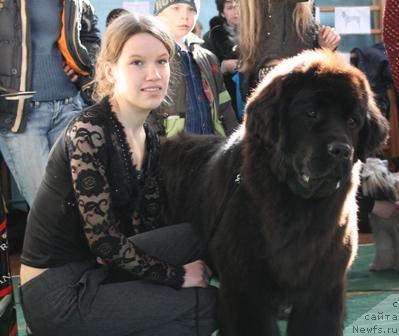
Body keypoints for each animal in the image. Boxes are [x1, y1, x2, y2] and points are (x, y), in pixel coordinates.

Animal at [160, 50, 390, 336]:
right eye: (311, 113)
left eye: (353, 121)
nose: (342, 151)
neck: (297, 208)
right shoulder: (244, 292)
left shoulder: (323, 290)